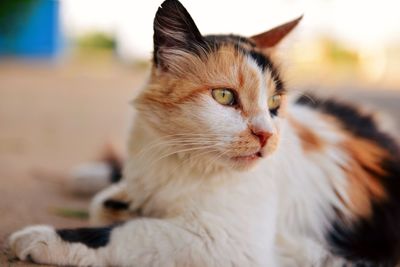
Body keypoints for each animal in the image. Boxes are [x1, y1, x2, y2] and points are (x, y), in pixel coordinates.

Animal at [8, 0, 400, 266]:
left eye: (274, 104)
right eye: (224, 96)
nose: (267, 136)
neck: (181, 161)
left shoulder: (223, 243)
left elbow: (124, 232)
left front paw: (40, 237)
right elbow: (108, 207)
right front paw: (118, 200)